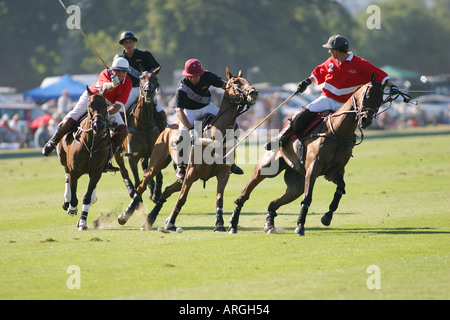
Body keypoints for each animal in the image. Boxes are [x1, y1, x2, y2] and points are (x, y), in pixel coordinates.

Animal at [56, 86, 109, 229]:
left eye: (105, 105)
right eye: (90, 105)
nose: (98, 126)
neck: (91, 144)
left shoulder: (96, 172)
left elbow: (87, 196)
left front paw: (83, 221)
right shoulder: (74, 171)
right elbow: (74, 197)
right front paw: (72, 208)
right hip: (64, 160)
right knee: (67, 176)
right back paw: (66, 202)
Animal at [116, 67, 165, 202]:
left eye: (155, 78)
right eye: (141, 78)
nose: (148, 91)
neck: (144, 124)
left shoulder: (154, 152)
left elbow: (157, 174)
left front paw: (156, 193)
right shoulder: (132, 157)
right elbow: (137, 181)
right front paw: (137, 199)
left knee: (145, 166)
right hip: (117, 152)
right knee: (123, 170)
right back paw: (131, 191)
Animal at [230, 74, 384, 236]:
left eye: (381, 100)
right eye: (367, 95)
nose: (366, 120)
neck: (337, 132)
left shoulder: (334, 172)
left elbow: (341, 189)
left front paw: (327, 217)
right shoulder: (313, 169)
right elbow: (308, 197)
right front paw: (300, 226)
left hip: (295, 184)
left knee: (273, 203)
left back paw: (269, 225)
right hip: (265, 168)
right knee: (244, 194)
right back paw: (233, 224)